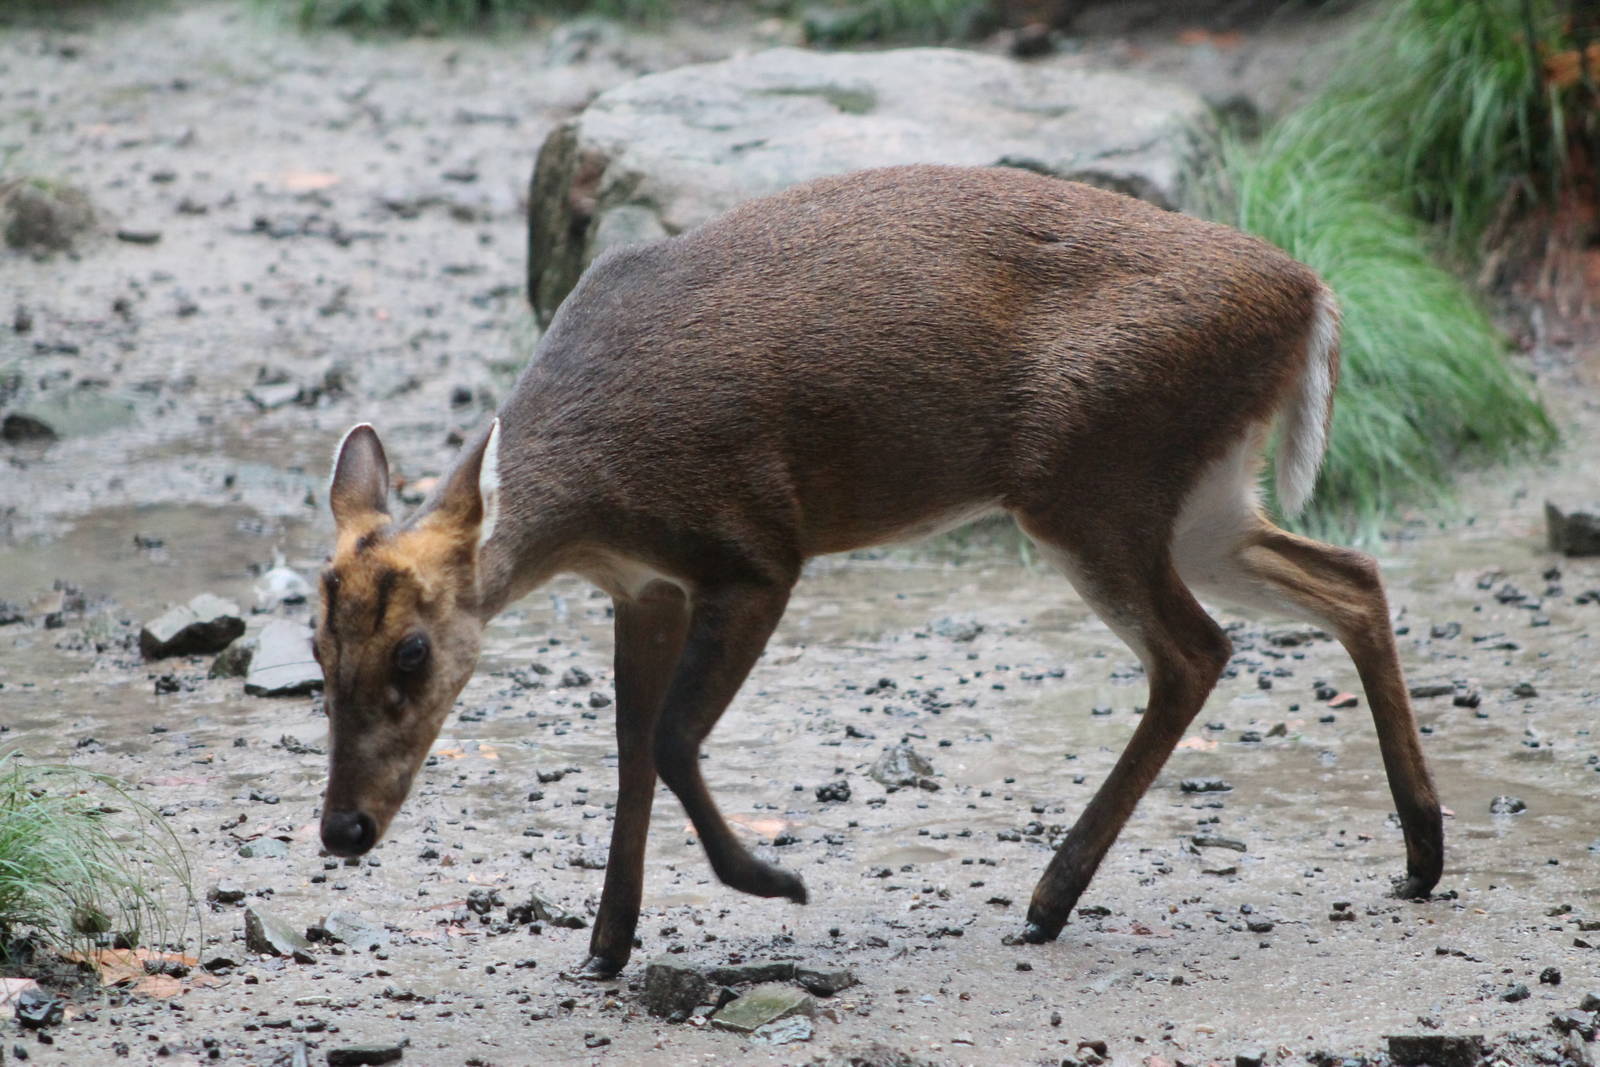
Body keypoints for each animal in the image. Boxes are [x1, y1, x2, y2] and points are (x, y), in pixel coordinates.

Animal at [308, 164, 1440, 979]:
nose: (342, 828)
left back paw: (1046, 900)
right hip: (1199, 495)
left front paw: (775, 881)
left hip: (1096, 480)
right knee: (1350, 576)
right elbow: (629, 746)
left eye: (413, 650)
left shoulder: (754, 549)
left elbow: (668, 738)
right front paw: (603, 947)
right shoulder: (643, 584)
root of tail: (1312, 297)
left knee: (1197, 648)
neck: (595, 495)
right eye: (317, 648)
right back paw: (1421, 856)